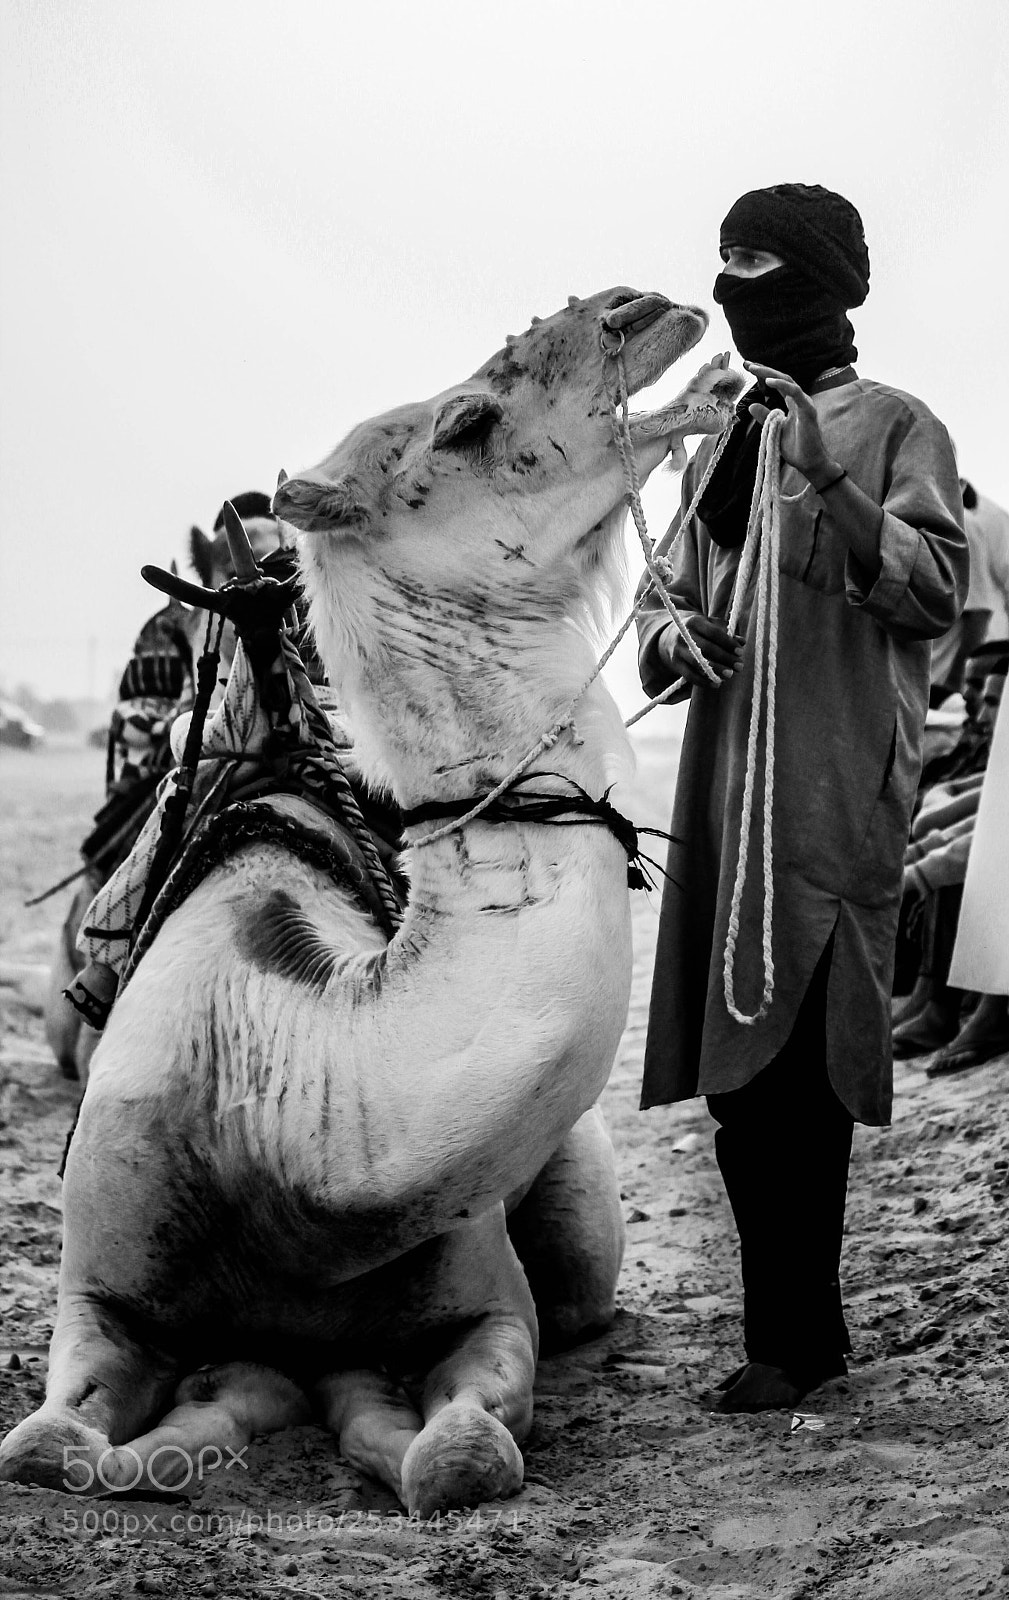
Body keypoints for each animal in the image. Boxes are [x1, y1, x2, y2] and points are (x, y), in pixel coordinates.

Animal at [0, 286, 742, 1516]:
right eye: (467, 420)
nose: (641, 309)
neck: (289, 1132)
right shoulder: (98, 1288)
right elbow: (47, 1447)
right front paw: (193, 1426)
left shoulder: (485, 1301)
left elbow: (458, 1456)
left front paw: (312, 1417)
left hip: (581, 1221)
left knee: (583, 1287)